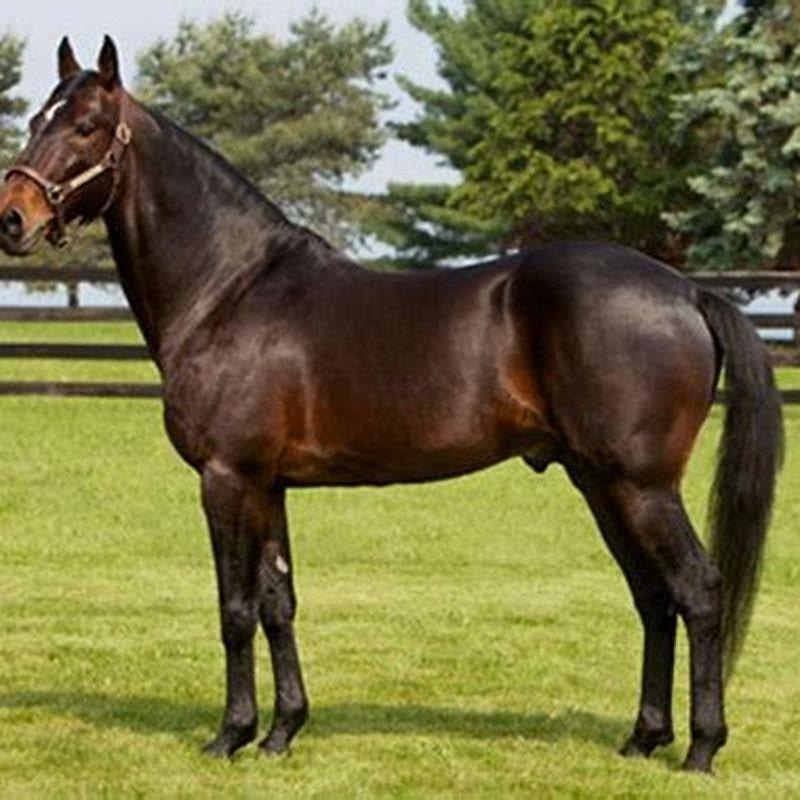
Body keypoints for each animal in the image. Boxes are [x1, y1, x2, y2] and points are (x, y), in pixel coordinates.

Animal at [0, 37, 782, 774]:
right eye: (37, 119)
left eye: (87, 126)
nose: (13, 217)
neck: (230, 290)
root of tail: (687, 291)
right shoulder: (269, 485)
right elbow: (279, 603)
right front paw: (282, 733)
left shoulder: (226, 478)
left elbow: (235, 609)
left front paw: (230, 736)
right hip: (601, 483)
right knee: (653, 596)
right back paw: (643, 739)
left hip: (641, 486)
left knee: (698, 591)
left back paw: (701, 749)